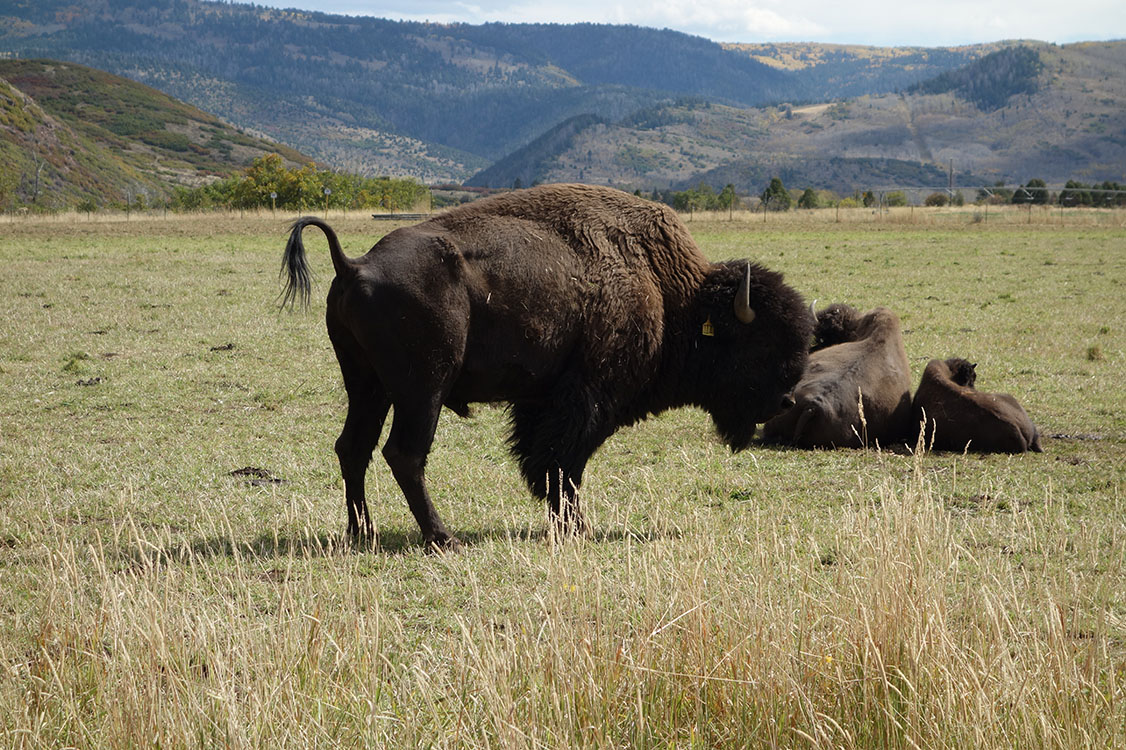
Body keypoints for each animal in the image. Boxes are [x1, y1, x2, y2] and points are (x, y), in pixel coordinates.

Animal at [281, 184, 813, 549]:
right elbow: (562, 465)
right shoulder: (587, 401)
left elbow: (544, 463)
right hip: (422, 389)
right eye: (761, 345)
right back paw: (442, 539)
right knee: (404, 454)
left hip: (367, 386)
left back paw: (363, 533)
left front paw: (567, 523)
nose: (786, 400)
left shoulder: (541, 400)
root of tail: (354, 264)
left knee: (354, 448)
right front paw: (577, 527)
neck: (669, 292)